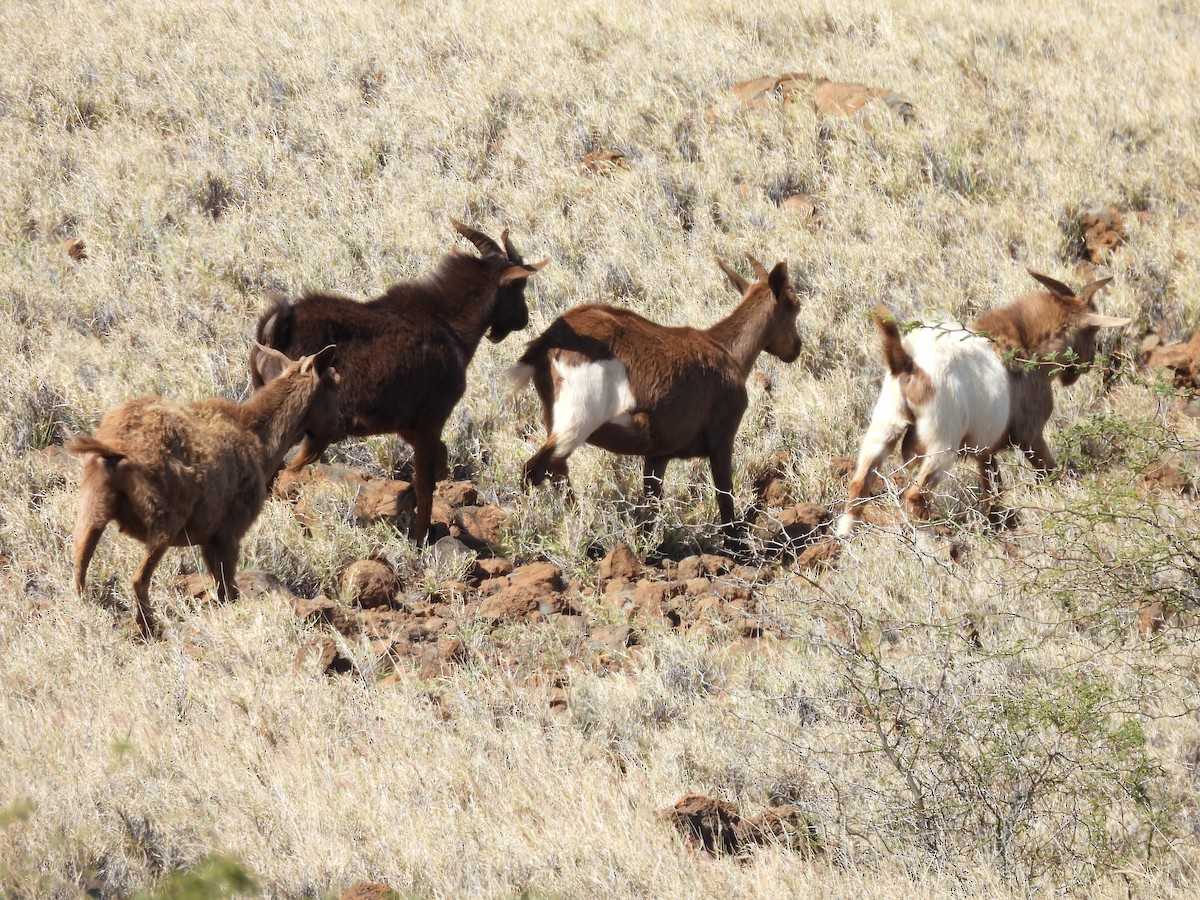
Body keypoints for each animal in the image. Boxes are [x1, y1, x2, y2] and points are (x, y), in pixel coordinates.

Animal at [69, 345, 340, 638]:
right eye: (334, 383)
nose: (341, 424)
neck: (258, 440)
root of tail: (116, 451)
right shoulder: (227, 533)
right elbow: (227, 590)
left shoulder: (208, 538)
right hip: (164, 521)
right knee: (138, 579)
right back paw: (149, 628)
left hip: (92, 509)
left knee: (79, 568)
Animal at [254, 220, 547, 544]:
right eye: (519, 286)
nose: (523, 319)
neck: (449, 325)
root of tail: (276, 326)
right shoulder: (432, 419)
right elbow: (425, 483)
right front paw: (421, 538)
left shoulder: (405, 423)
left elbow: (437, 461)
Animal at [508, 255, 801, 539]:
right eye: (794, 305)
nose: (796, 348)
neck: (727, 351)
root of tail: (547, 343)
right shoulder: (722, 438)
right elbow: (725, 497)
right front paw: (736, 545)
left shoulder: (658, 454)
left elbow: (650, 506)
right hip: (578, 419)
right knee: (534, 470)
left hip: (555, 420)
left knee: (556, 471)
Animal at [835, 270, 1130, 539]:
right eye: (1092, 332)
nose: (1089, 363)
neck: (1026, 347)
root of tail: (907, 363)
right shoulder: (1030, 435)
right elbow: (1048, 472)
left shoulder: (984, 449)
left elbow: (992, 490)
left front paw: (995, 526)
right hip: (942, 444)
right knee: (915, 496)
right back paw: (930, 544)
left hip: (885, 426)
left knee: (860, 483)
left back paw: (845, 537)